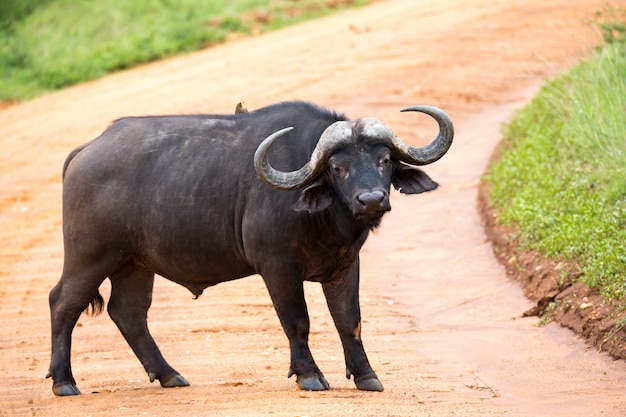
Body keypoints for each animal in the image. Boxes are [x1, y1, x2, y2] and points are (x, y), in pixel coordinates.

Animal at [46, 100, 450, 394]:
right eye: (338, 168)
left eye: (385, 161)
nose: (371, 200)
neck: (323, 219)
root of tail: (85, 151)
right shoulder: (278, 267)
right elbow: (297, 320)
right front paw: (309, 375)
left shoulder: (346, 264)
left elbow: (349, 321)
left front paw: (366, 376)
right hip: (89, 257)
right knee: (63, 303)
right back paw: (64, 382)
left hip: (133, 264)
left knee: (128, 313)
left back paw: (169, 375)